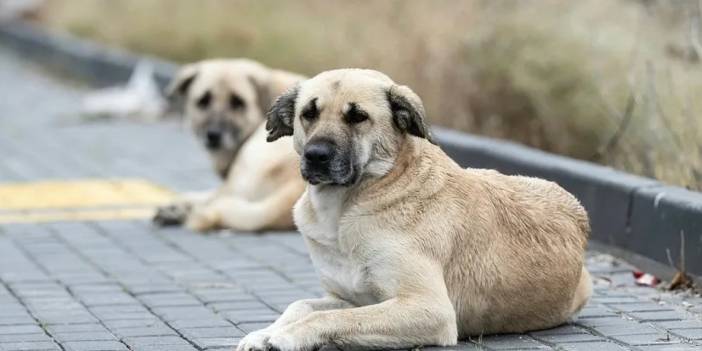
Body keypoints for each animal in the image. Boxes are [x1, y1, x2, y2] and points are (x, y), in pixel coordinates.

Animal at [238, 69, 592, 351]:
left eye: (358, 116)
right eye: (308, 114)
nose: (315, 155)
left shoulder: (428, 308)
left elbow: (334, 319)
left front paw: (286, 337)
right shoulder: (346, 297)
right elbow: (300, 305)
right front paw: (264, 333)